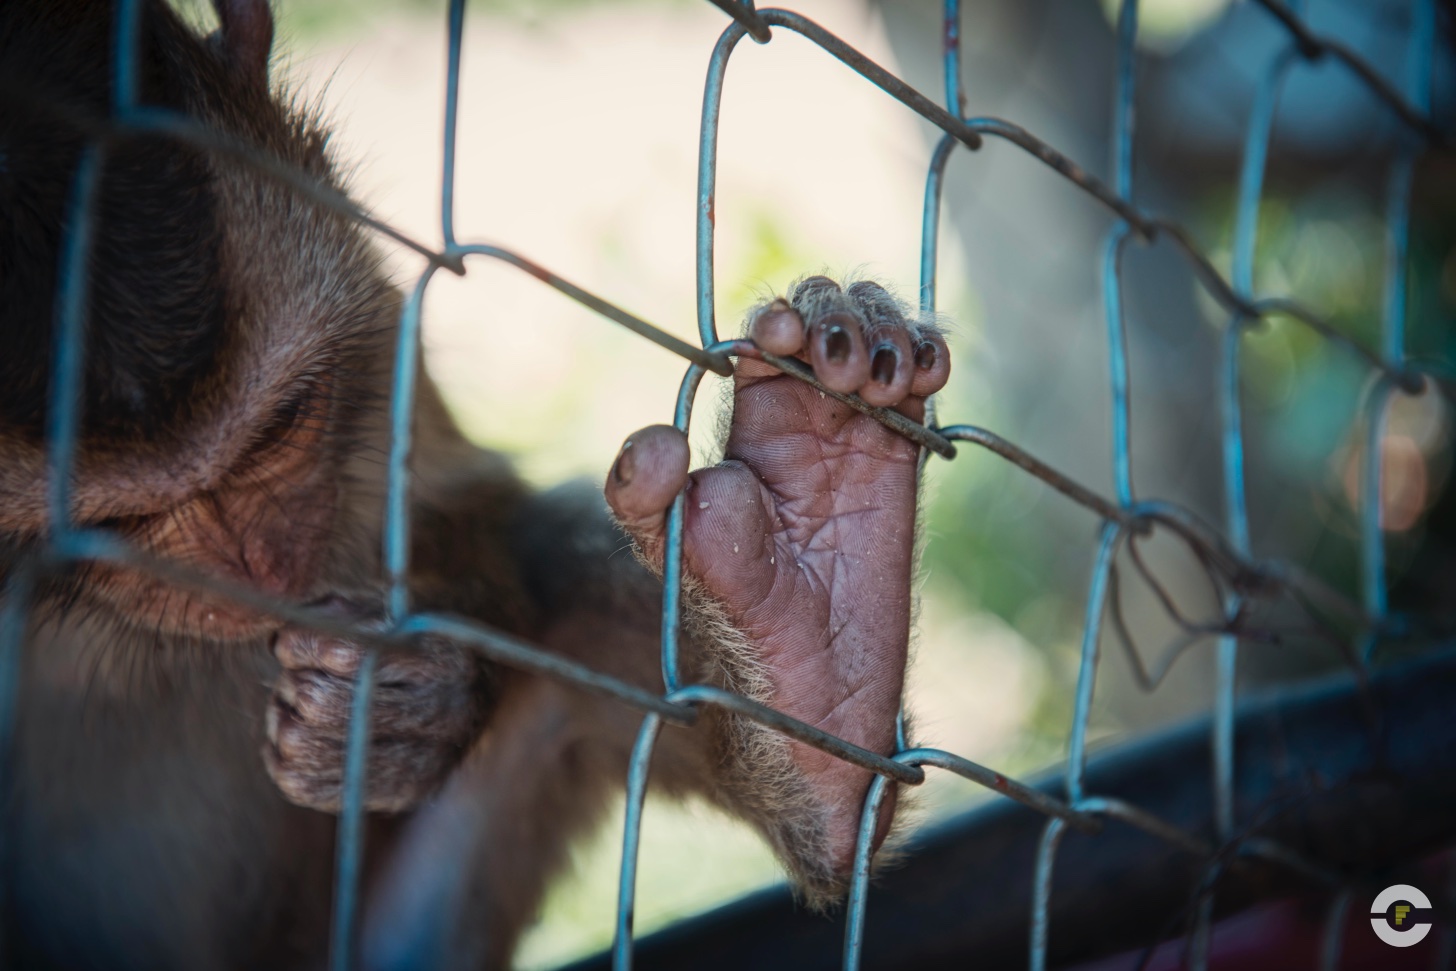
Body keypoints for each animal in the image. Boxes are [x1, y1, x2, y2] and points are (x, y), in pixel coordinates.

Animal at [0, 1, 955, 971]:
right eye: (119, 518)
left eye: (279, 426)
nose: (257, 570)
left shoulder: (376, 326)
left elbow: (471, 508)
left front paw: (412, 707)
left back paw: (821, 653)